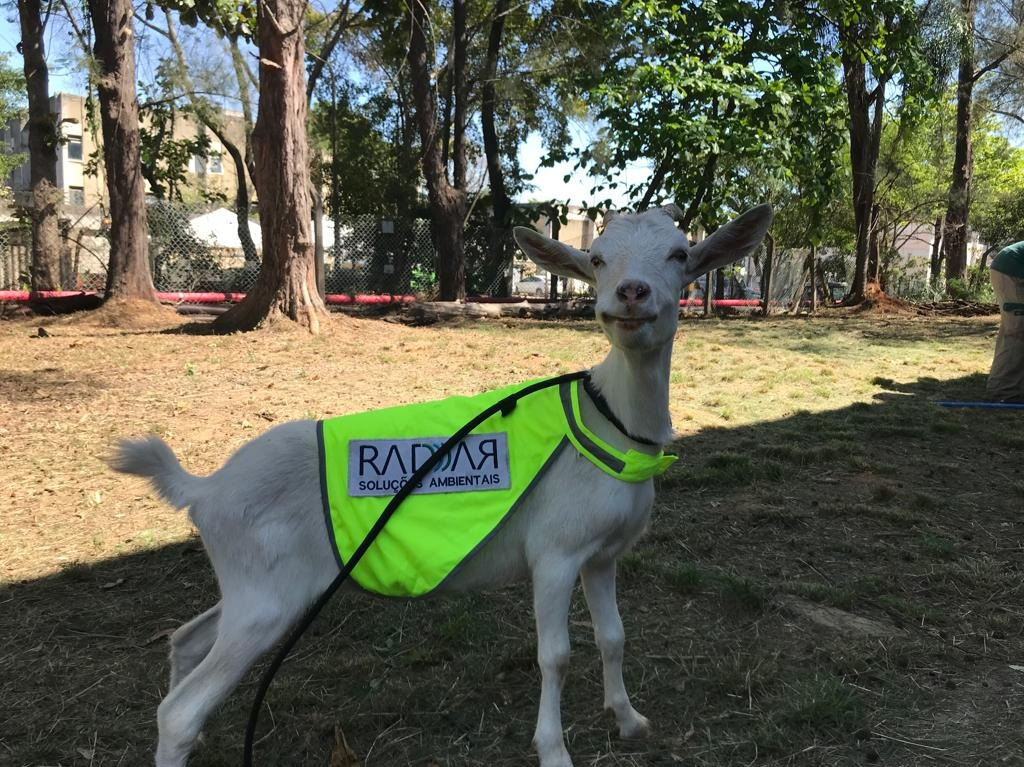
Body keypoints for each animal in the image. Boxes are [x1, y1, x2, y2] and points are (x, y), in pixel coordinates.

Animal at [112, 203, 770, 765]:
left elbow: (613, 636)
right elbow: (555, 655)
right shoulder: (554, 551)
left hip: (254, 585)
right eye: (599, 258)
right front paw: (553, 749)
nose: (630, 295)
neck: (612, 421)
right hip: (267, 598)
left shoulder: (602, 554)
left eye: (680, 253)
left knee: (186, 640)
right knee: (178, 712)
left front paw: (629, 719)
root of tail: (203, 489)